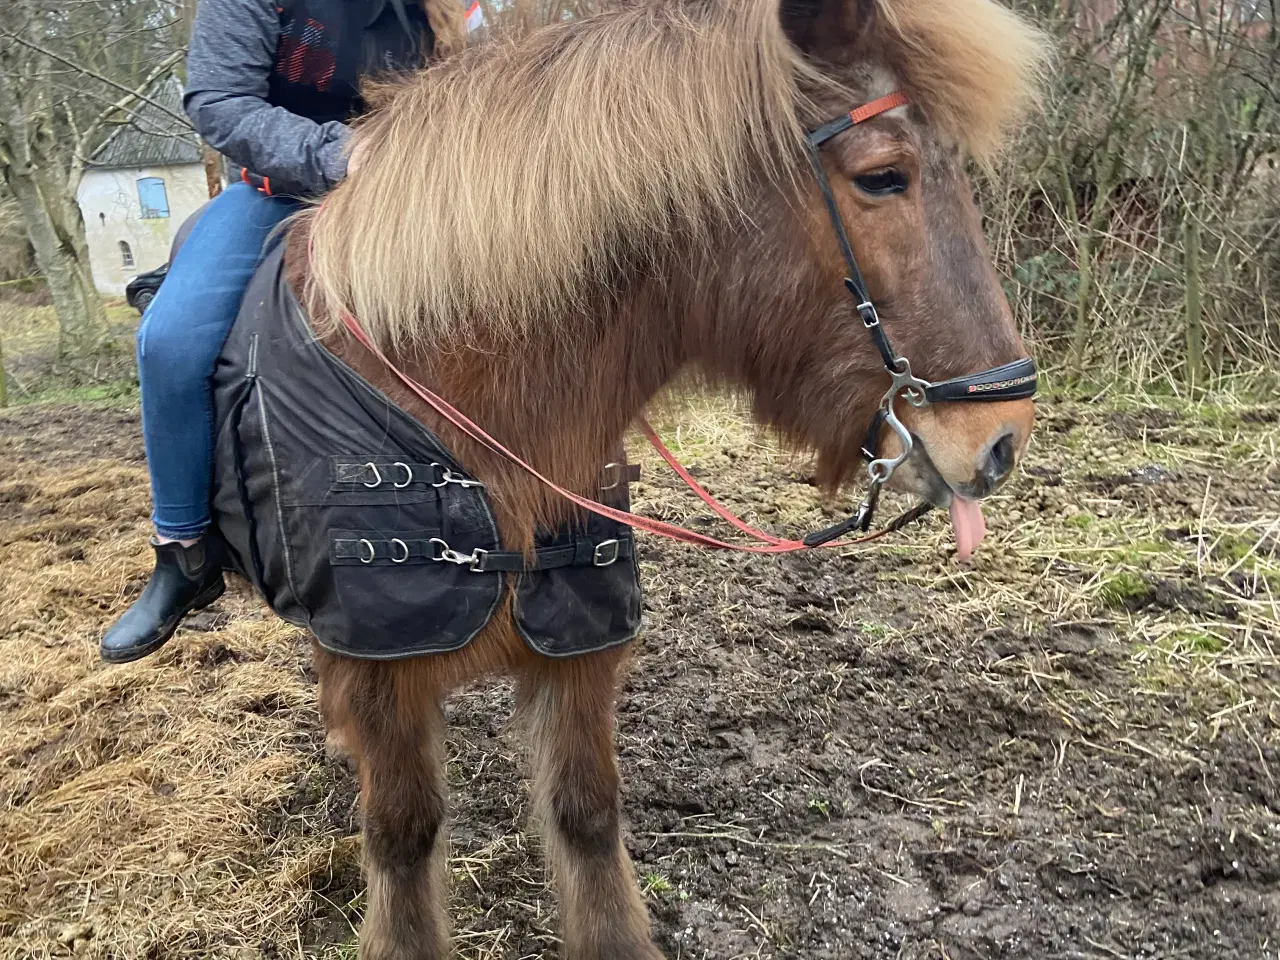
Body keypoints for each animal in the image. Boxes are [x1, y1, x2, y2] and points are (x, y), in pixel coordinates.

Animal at [212, 0, 1049, 957]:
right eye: (884, 178)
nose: (1001, 436)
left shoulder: (578, 649)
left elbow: (586, 813)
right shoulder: (384, 671)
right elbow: (402, 831)